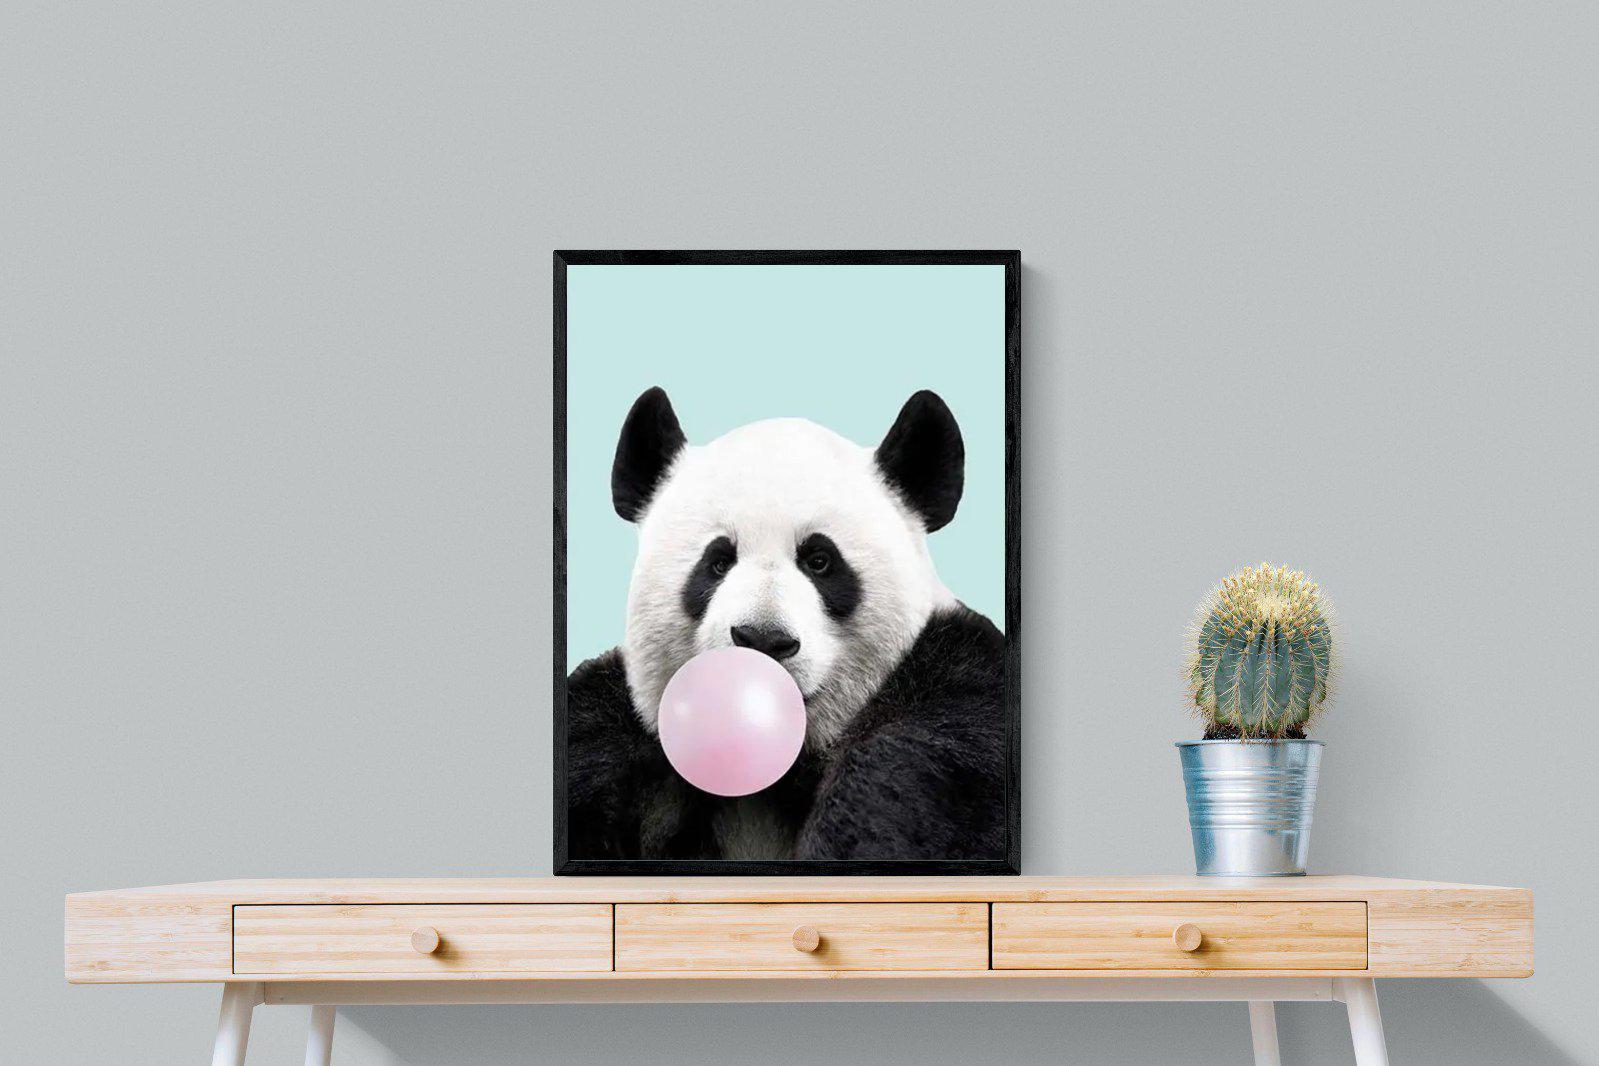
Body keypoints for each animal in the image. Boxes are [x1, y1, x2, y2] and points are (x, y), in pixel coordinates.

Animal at [566, 386, 1007, 862]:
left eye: (820, 561)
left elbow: (911, 775)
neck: (774, 773)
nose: (763, 640)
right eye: (718, 562)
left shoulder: (959, 700)